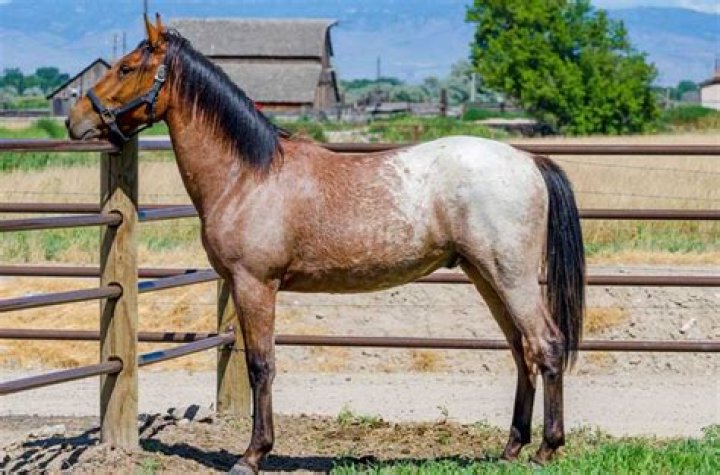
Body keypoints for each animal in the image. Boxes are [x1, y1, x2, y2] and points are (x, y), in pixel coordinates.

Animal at [67, 14, 585, 474]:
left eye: (125, 67)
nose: (76, 120)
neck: (248, 175)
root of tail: (529, 161)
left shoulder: (255, 285)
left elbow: (261, 365)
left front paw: (252, 455)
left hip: (511, 276)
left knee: (546, 345)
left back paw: (546, 448)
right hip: (485, 275)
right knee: (521, 351)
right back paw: (511, 448)